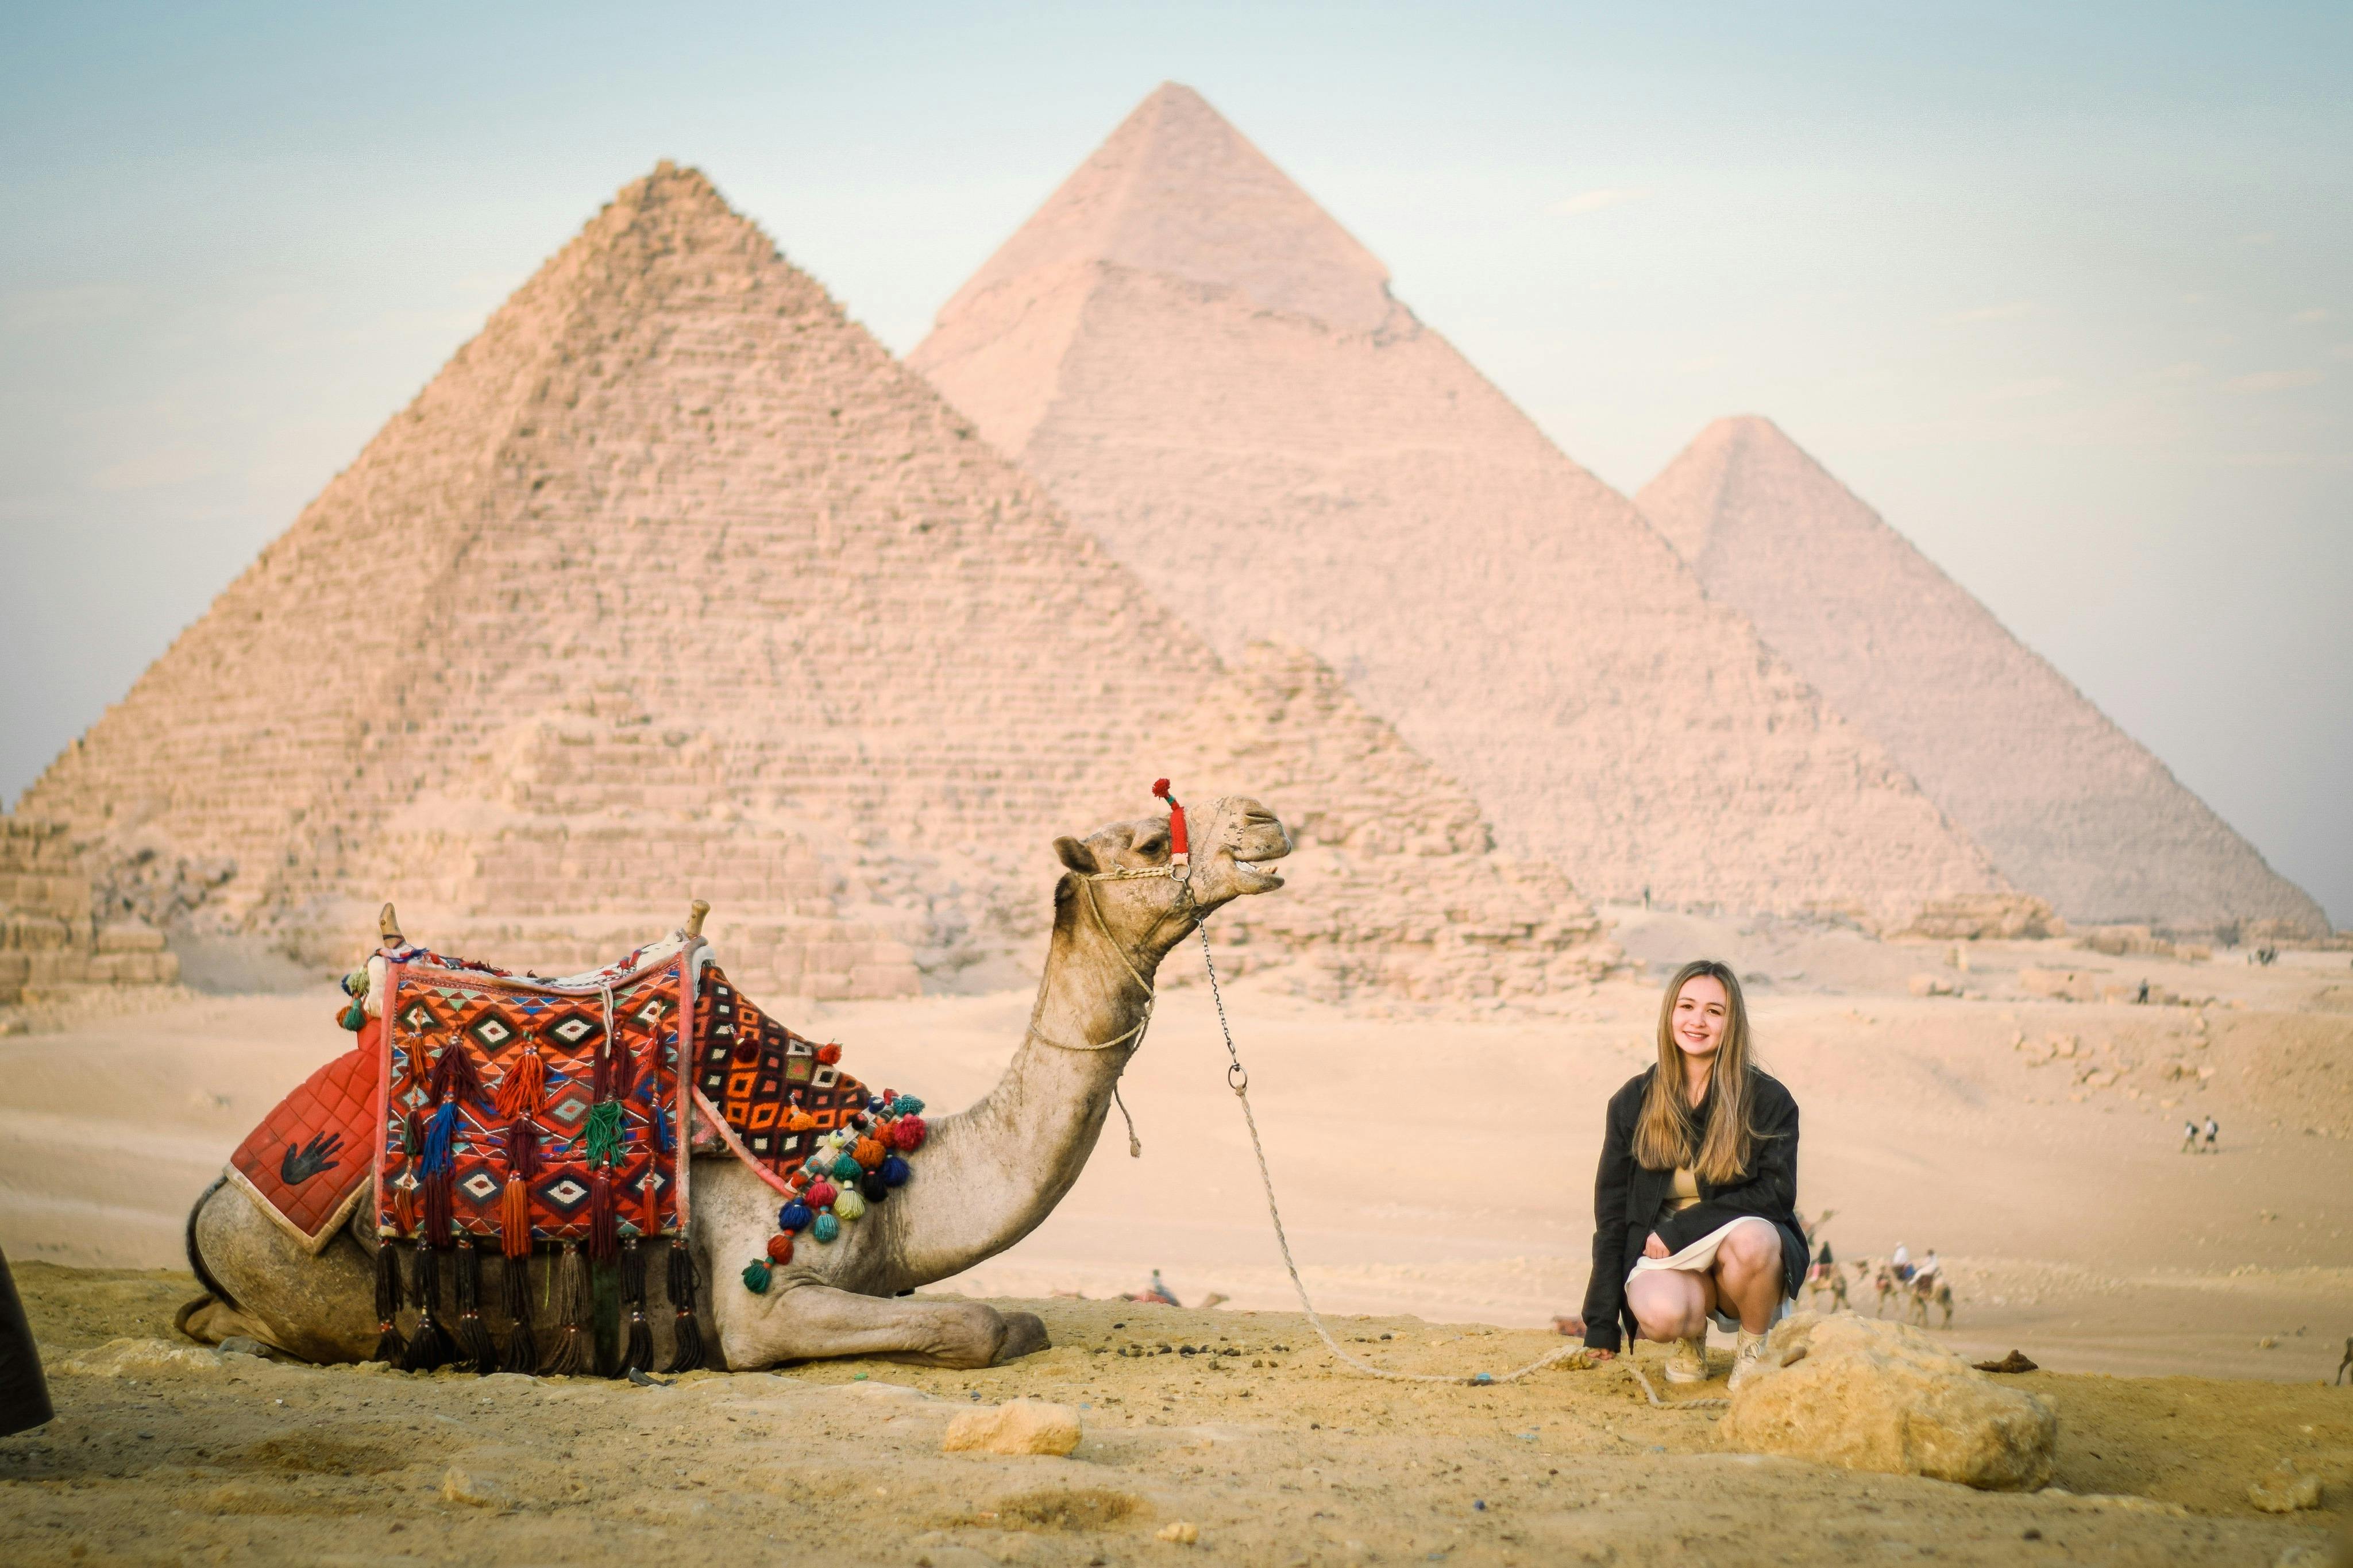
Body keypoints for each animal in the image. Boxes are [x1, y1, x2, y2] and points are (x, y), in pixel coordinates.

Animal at [178, 796, 1292, 1371]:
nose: (1267, 821)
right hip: (305, 1279)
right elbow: (980, 1325)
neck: (888, 1179)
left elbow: (1018, 1320)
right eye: (1148, 840)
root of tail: (216, 1197)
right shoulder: (760, 1301)